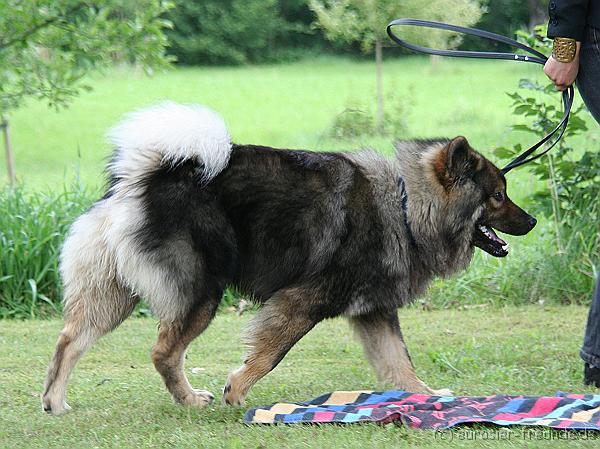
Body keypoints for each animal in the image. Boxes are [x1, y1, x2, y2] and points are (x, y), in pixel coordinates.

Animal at [43, 101, 540, 412]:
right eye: (498, 196)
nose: (533, 221)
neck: (404, 205)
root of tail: (142, 178)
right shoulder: (302, 301)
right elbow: (270, 354)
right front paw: (237, 390)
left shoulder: (375, 312)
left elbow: (400, 363)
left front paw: (428, 397)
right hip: (202, 292)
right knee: (164, 352)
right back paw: (190, 399)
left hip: (115, 294)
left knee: (70, 339)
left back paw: (55, 402)